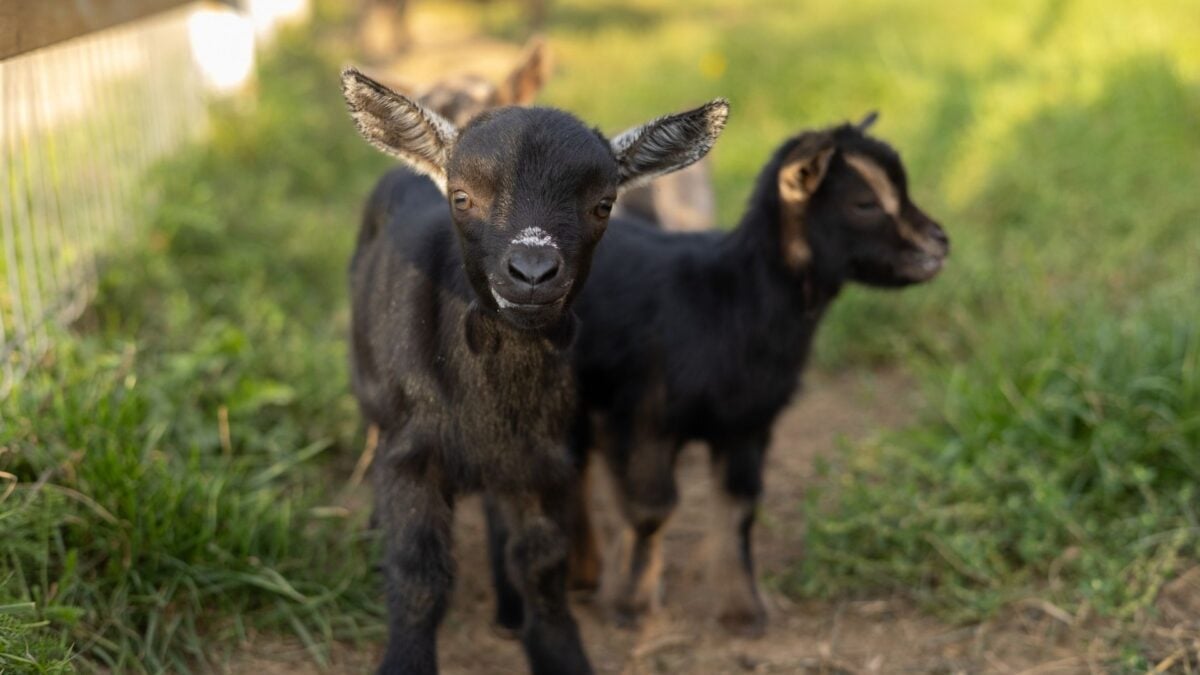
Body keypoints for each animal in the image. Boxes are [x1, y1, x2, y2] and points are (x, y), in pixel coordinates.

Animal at [340, 67, 728, 674]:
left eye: (603, 204)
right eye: (462, 196)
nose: (532, 271)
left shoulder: (544, 459)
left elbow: (543, 569)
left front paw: (558, 651)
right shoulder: (411, 452)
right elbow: (419, 572)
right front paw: (404, 659)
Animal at [489, 114, 949, 637]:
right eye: (864, 203)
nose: (939, 243)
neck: (730, 299)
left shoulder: (747, 424)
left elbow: (738, 511)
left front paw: (742, 610)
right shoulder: (645, 415)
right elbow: (651, 510)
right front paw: (631, 604)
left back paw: (585, 572)